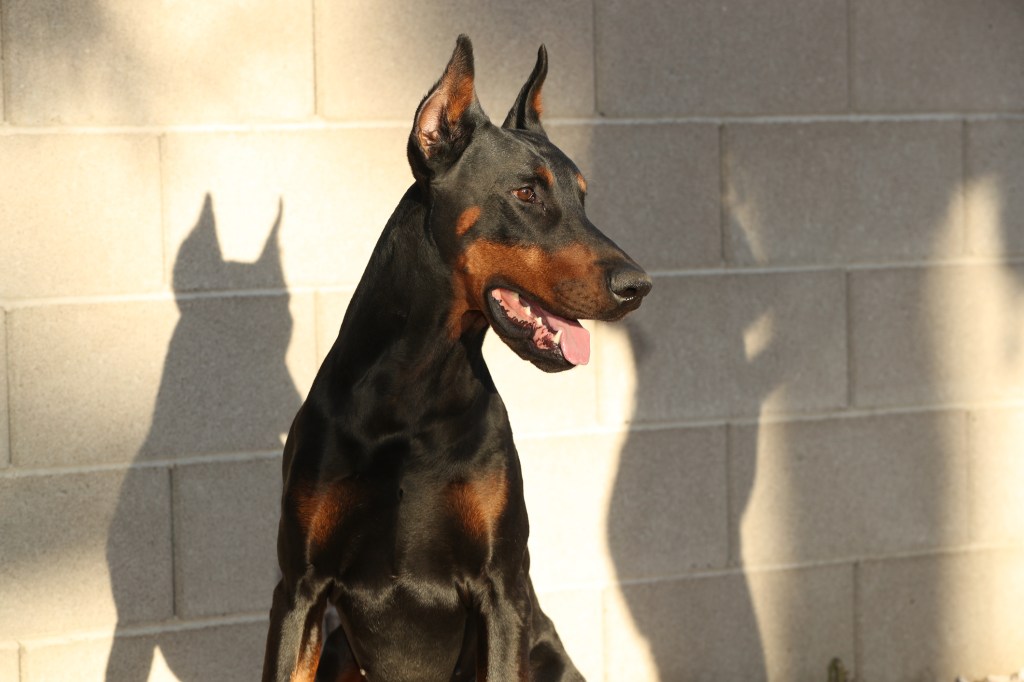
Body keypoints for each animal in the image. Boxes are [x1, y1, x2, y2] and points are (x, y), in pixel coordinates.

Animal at [260, 37, 651, 679]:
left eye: (583, 197)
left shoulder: (503, 588)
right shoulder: (299, 587)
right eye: (526, 192)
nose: (638, 286)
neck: (414, 390)